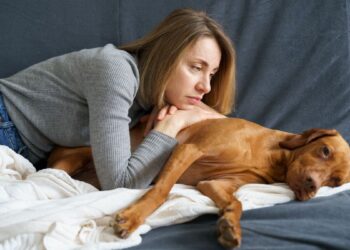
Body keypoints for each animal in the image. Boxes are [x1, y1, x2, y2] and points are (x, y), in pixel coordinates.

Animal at [47, 118, 350, 248]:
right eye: (325, 150)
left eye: (335, 182)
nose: (311, 186)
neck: (271, 155)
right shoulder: (188, 150)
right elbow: (161, 191)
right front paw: (132, 219)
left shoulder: (213, 184)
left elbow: (236, 203)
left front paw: (230, 226)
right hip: (74, 157)